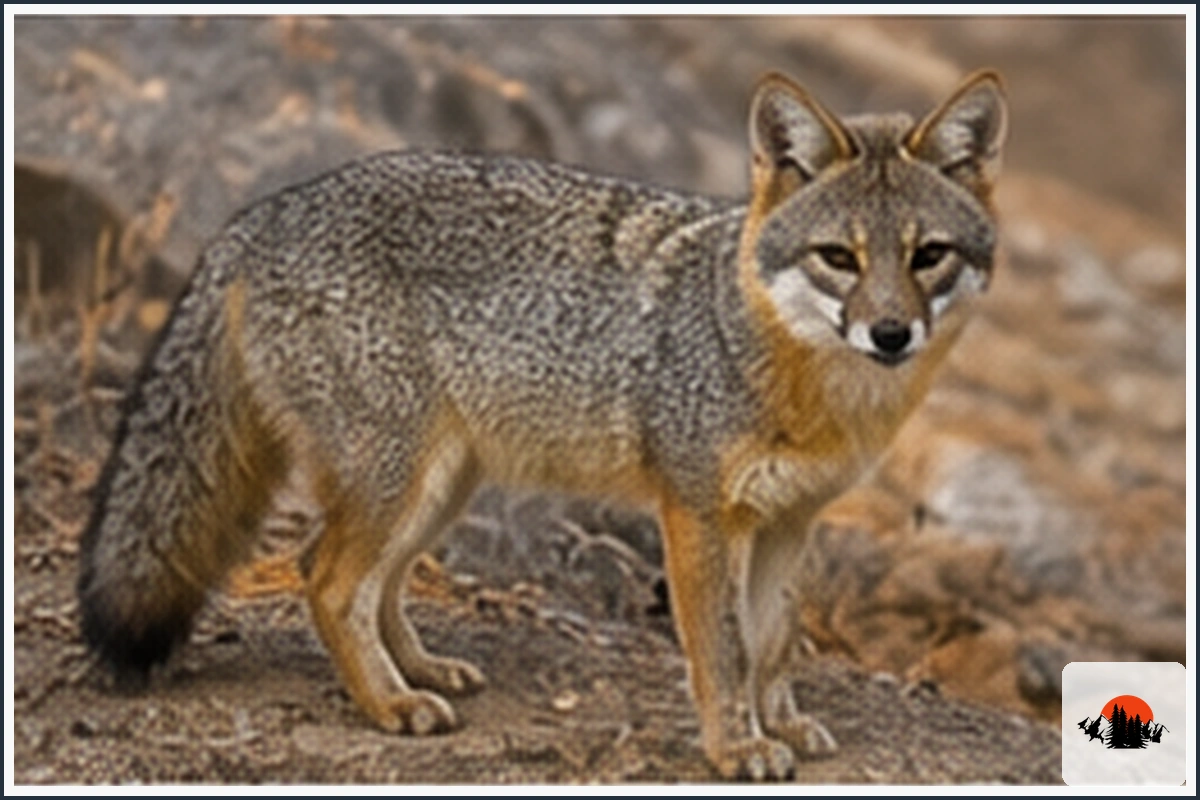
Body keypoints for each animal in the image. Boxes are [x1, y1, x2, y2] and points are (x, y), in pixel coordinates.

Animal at [78, 70, 1007, 780]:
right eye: (839, 259)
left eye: (928, 257)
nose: (890, 333)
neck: (800, 381)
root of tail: (257, 213)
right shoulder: (697, 514)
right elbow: (724, 648)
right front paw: (736, 747)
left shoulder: (789, 520)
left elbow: (773, 641)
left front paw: (778, 723)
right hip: (399, 477)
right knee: (327, 578)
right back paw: (389, 703)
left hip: (440, 487)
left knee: (372, 580)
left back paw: (419, 671)